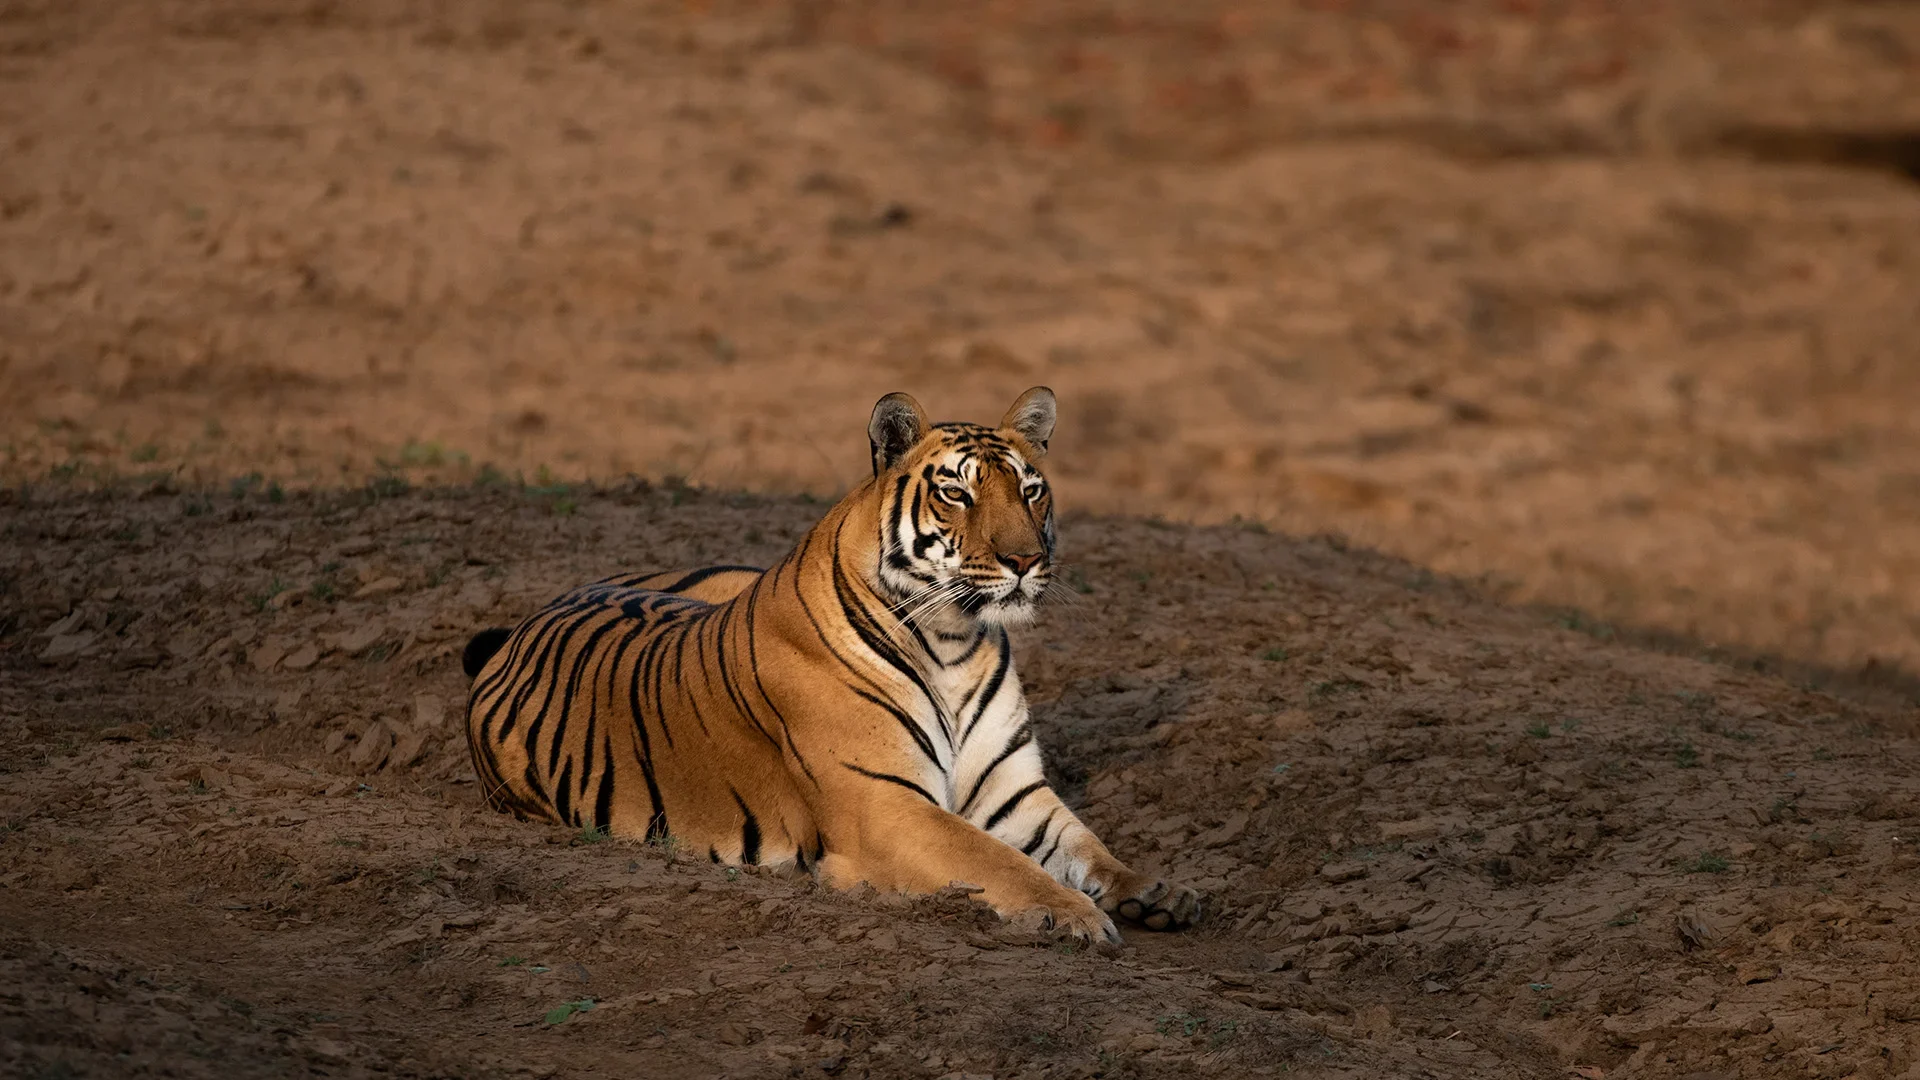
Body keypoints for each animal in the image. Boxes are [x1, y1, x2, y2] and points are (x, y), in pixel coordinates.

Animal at [461, 387, 1201, 943]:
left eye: (1031, 491)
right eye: (958, 495)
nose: (1025, 561)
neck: (956, 642)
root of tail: (525, 621)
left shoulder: (1013, 789)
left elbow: (1084, 843)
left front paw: (1156, 889)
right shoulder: (884, 803)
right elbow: (998, 862)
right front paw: (1079, 916)